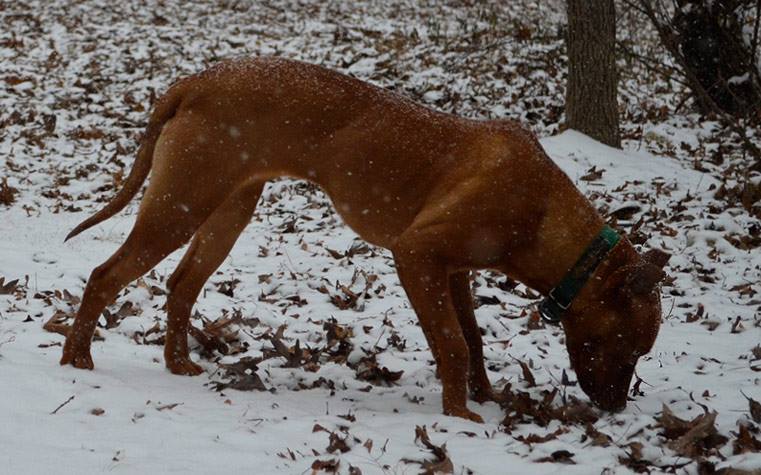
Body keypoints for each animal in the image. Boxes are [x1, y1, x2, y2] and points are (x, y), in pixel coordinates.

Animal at [62, 56, 668, 424]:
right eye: (630, 346)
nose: (616, 410)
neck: (543, 211)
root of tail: (194, 81)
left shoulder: (454, 272)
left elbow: (472, 340)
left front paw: (484, 396)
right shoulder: (417, 256)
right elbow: (452, 344)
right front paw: (460, 416)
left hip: (225, 212)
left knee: (182, 285)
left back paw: (177, 364)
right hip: (180, 205)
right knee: (105, 275)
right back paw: (77, 360)